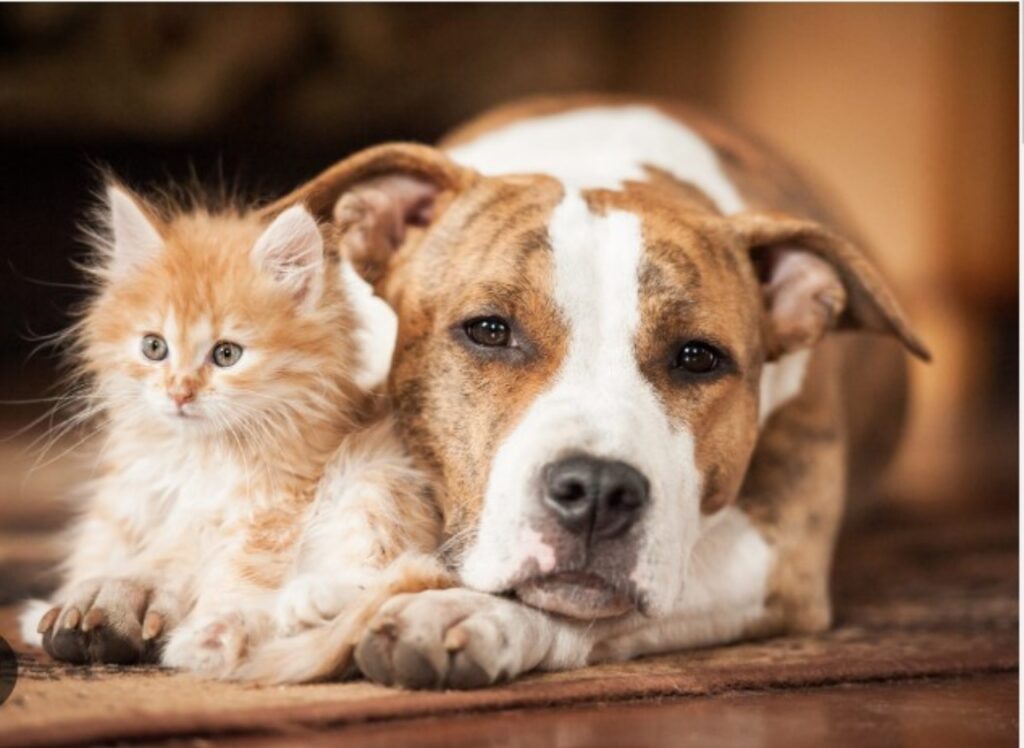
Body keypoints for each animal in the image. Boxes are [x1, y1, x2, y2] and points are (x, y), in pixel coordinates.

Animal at [18, 183, 438, 672]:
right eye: (154, 347)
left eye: (226, 354)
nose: (179, 393)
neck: (196, 454)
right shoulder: (128, 500)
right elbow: (106, 552)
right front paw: (63, 606)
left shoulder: (276, 503)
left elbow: (241, 569)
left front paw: (208, 634)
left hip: (379, 476)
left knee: (395, 572)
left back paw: (300, 604)